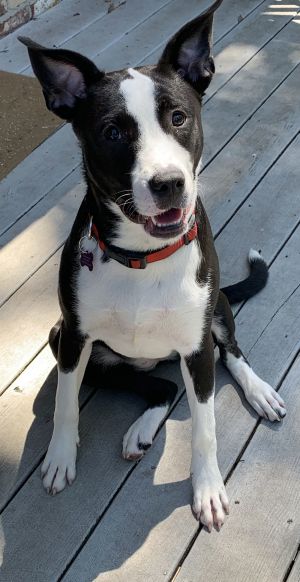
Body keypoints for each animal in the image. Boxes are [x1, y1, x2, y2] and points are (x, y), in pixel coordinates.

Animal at [18, 0, 286, 532]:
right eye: (112, 132)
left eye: (179, 117)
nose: (168, 184)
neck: (142, 257)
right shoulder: (73, 339)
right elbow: (65, 402)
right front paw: (60, 456)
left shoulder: (197, 348)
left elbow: (205, 427)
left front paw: (208, 488)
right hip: (77, 345)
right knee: (161, 388)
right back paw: (141, 429)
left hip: (216, 312)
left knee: (230, 353)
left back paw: (259, 390)